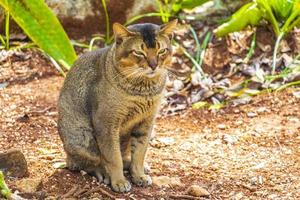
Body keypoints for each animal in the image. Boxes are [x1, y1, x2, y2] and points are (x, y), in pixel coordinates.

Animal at [57, 19, 177, 192]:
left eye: (161, 51)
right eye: (139, 53)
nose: (154, 65)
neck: (142, 91)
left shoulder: (146, 122)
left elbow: (139, 154)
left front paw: (139, 175)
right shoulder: (106, 124)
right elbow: (113, 158)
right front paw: (119, 181)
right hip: (83, 138)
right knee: (84, 163)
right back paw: (103, 173)